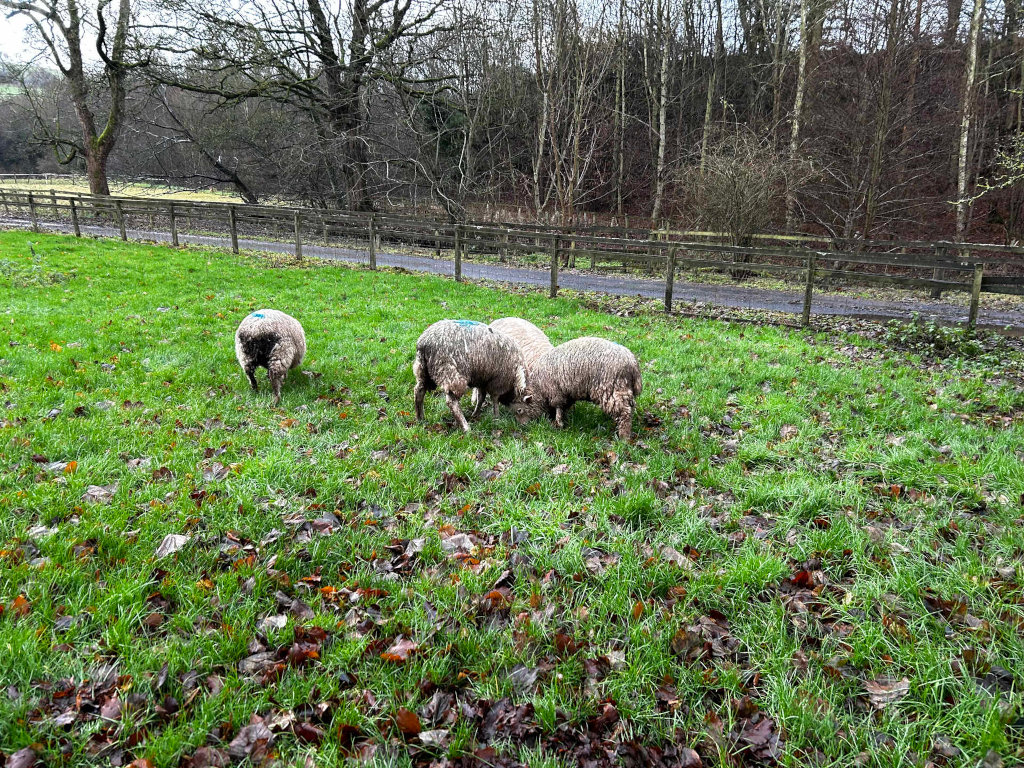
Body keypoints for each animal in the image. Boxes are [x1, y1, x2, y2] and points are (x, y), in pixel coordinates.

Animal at [511, 337, 642, 439]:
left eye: (519, 410)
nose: (522, 427)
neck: (539, 387)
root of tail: (633, 364)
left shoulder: (556, 393)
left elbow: (558, 408)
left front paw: (558, 424)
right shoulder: (566, 394)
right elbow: (563, 408)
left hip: (612, 389)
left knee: (625, 413)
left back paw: (623, 437)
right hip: (623, 390)